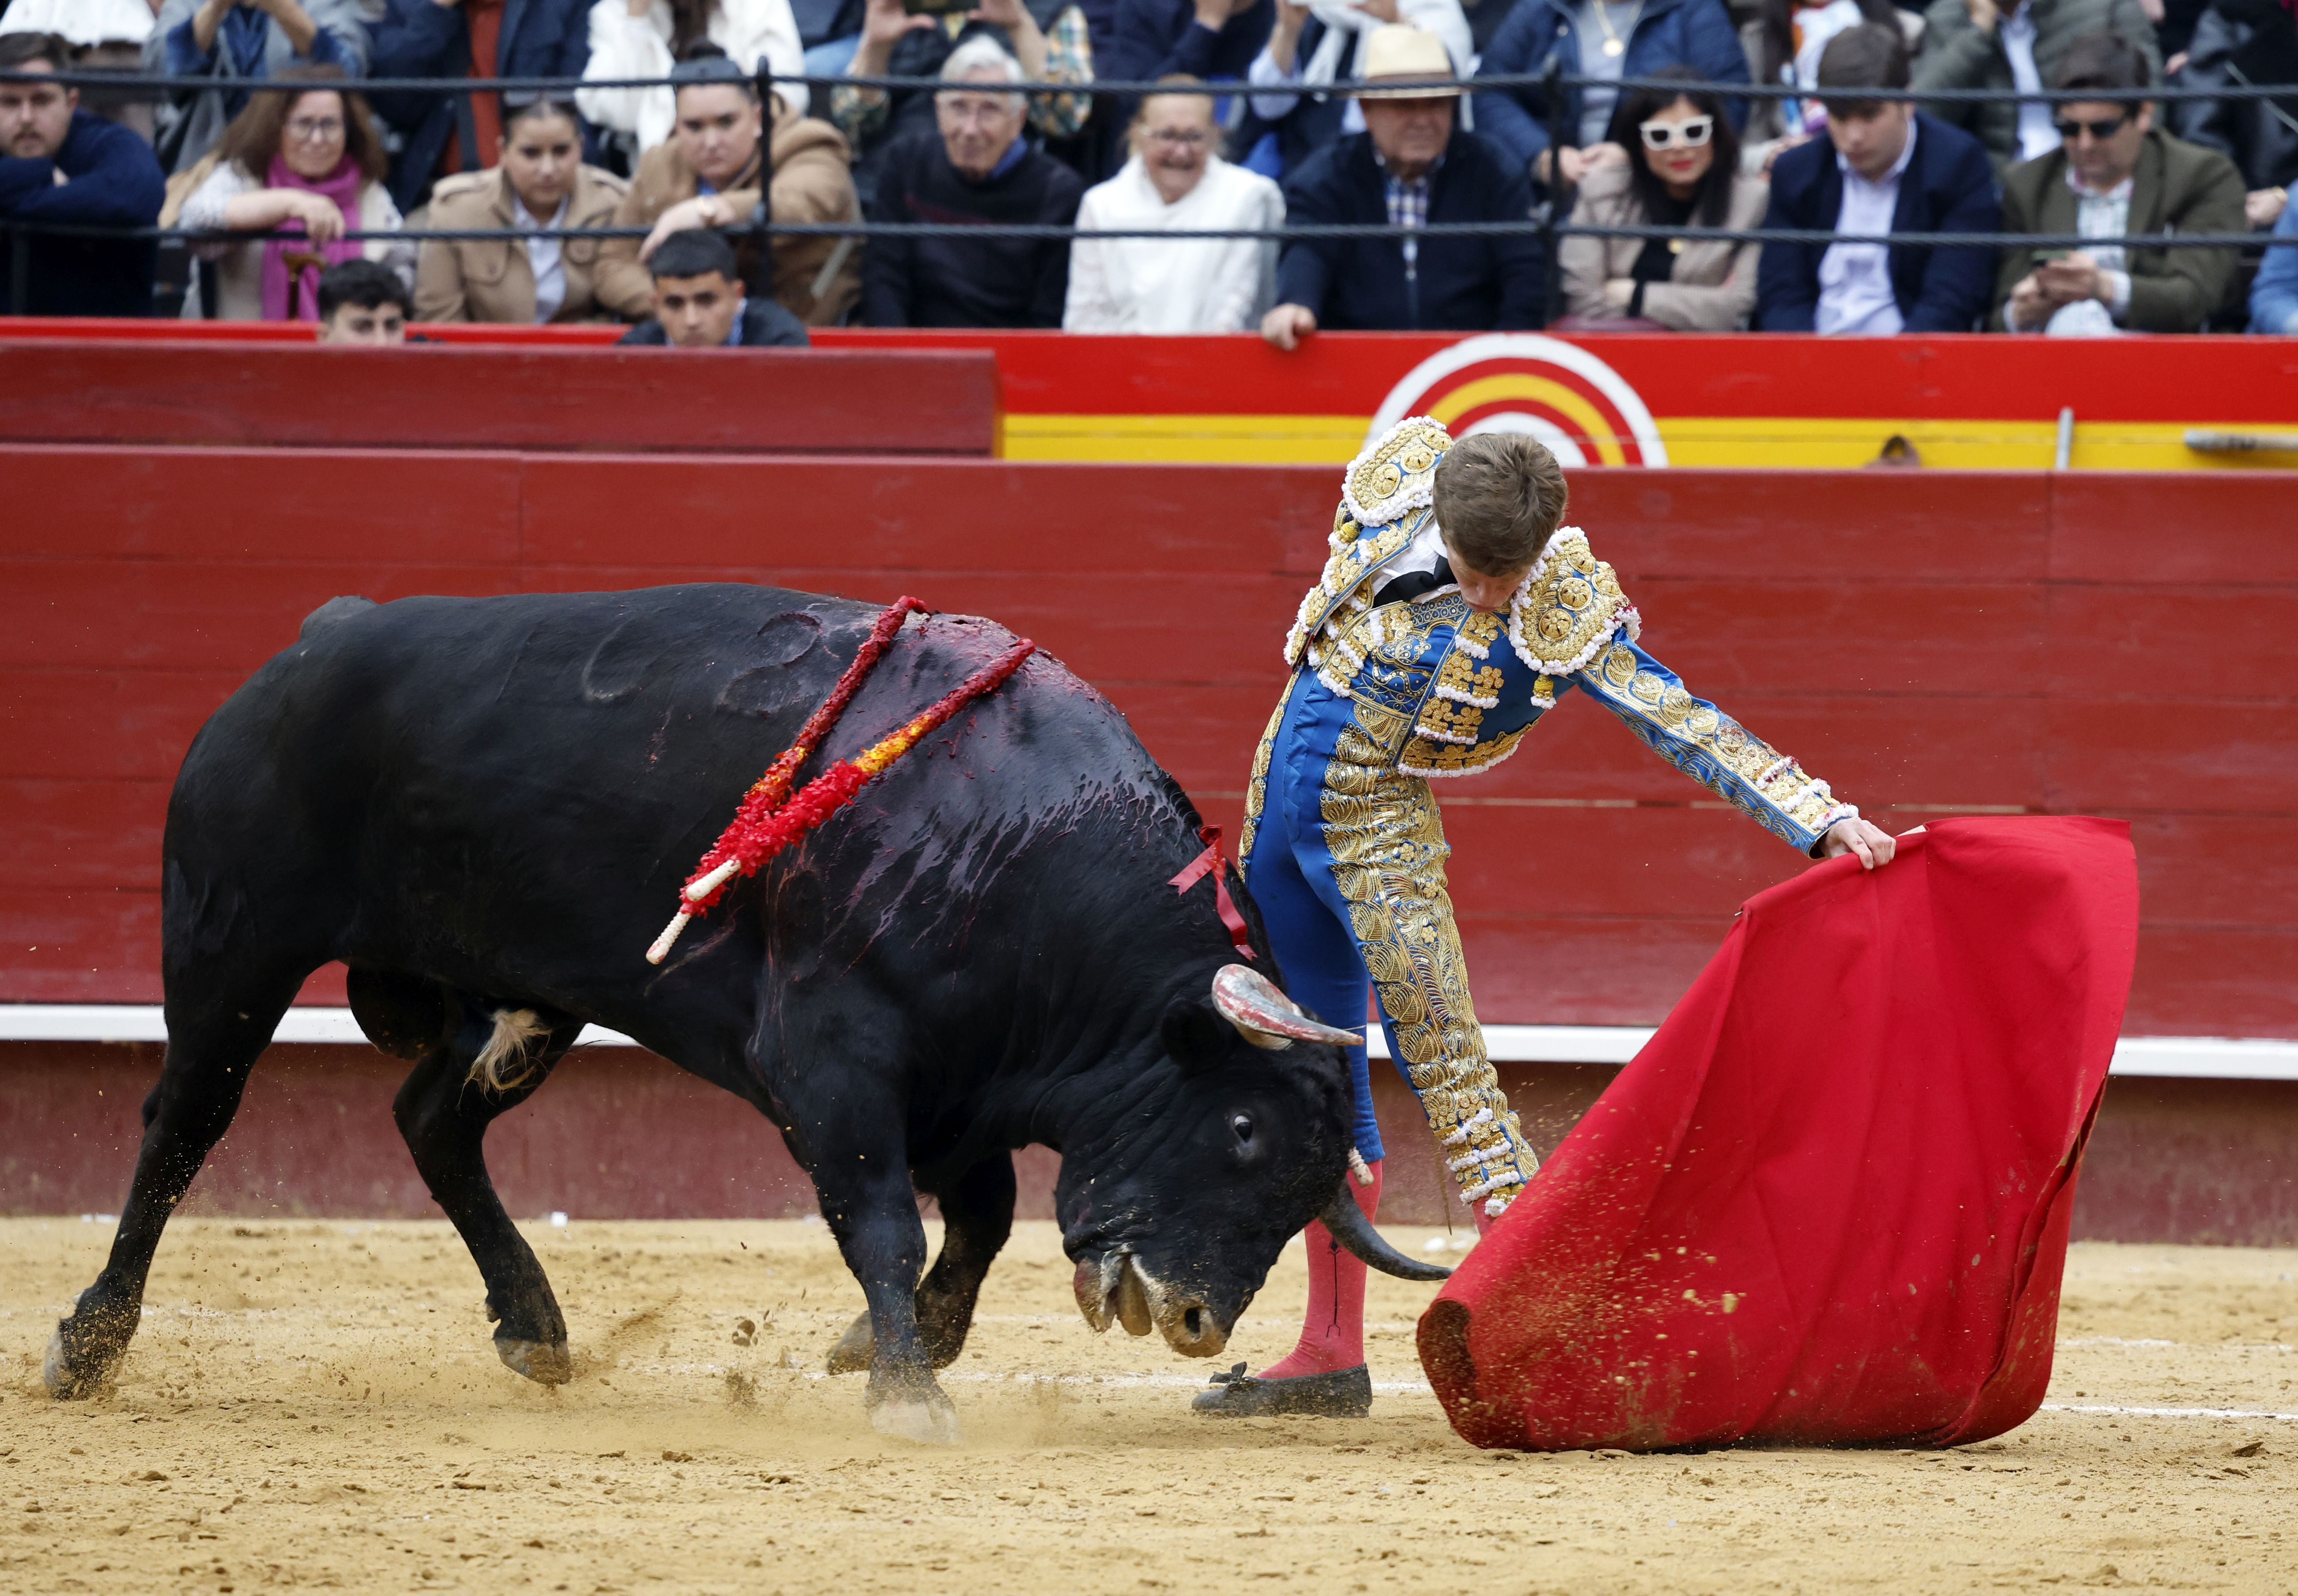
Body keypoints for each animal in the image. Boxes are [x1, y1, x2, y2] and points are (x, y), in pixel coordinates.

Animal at [45, 588, 1434, 1451]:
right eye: (1244, 1130)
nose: (1199, 1320)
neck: (1016, 846)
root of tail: (320, 636)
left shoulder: (965, 1086)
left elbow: (980, 1221)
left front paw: (886, 1346)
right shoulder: (832, 1063)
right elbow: (884, 1221)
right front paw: (907, 1392)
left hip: (534, 993)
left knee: (430, 1117)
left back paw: (536, 1329)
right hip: (234, 941)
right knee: (186, 1120)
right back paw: (89, 1345)